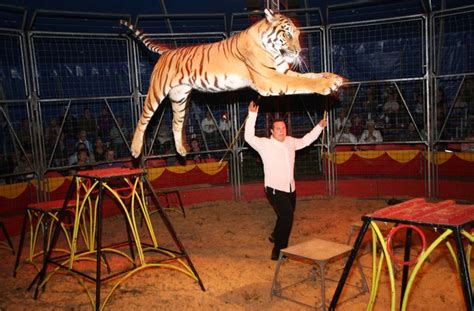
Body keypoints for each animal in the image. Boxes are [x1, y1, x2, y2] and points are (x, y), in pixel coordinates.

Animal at [121, 9, 344, 158]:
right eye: (287, 34)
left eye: (297, 35)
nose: (297, 51)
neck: (271, 48)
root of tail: (168, 51)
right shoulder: (269, 79)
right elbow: (303, 82)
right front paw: (326, 86)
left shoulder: (281, 72)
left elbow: (309, 76)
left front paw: (333, 78)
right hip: (157, 91)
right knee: (143, 118)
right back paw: (135, 149)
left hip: (179, 97)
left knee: (176, 122)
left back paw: (182, 150)